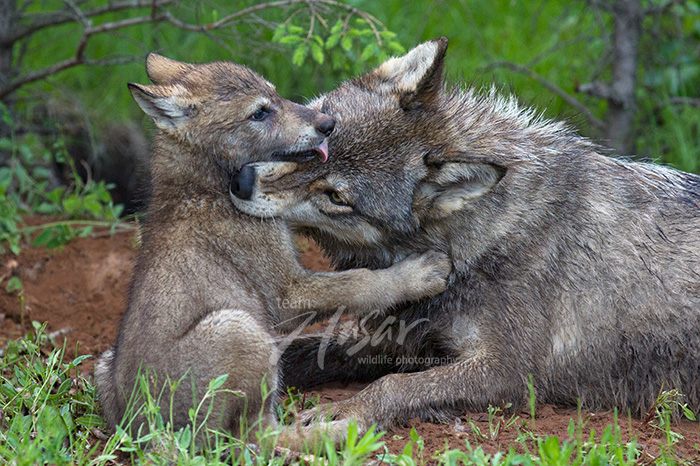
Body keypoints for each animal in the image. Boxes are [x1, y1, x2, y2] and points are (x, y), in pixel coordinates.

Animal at [93, 53, 452, 447]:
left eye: (277, 95)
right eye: (259, 113)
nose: (327, 123)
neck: (201, 186)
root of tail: (146, 433)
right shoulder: (288, 293)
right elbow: (359, 282)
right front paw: (420, 272)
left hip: (104, 364)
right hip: (242, 330)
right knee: (260, 438)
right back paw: (342, 429)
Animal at [230, 37, 700, 437]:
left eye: (336, 197)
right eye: (320, 128)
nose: (241, 181)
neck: (482, 237)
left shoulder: (507, 372)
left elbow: (393, 386)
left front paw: (343, 414)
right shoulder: (400, 338)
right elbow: (291, 353)